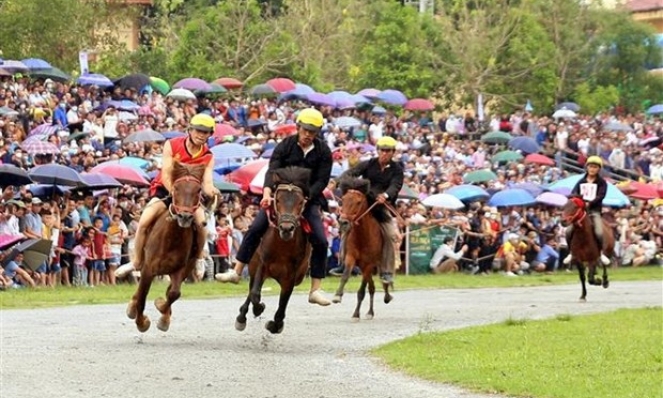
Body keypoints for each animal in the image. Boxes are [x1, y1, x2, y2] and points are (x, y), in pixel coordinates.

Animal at [126, 162, 206, 332]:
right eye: (176, 188)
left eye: (198, 190)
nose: (185, 216)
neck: (171, 238)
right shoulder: (148, 269)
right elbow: (142, 296)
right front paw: (142, 323)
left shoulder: (179, 269)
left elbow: (174, 293)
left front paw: (163, 314)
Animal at [235, 166, 312, 334]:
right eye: (277, 200)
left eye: (300, 202)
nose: (286, 228)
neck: (282, 246)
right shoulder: (263, 265)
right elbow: (255, 294)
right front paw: (258, 308)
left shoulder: (291, 276)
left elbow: (283, 303)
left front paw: (275, 324)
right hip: (253, 266)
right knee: (251, 290)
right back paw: (242, 317)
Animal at [334, 177, 392, 320]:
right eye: (343, 199)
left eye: (358, 202)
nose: (343, 222)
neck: (363, 236)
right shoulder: (351, 257)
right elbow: (346, 275)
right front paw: (338, 295)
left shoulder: (369, 264)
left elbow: (361, 290)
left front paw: (356, 314)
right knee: (372, 287)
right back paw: (370, 312)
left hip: (377, 264)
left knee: (381, 282)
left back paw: (386, 297)